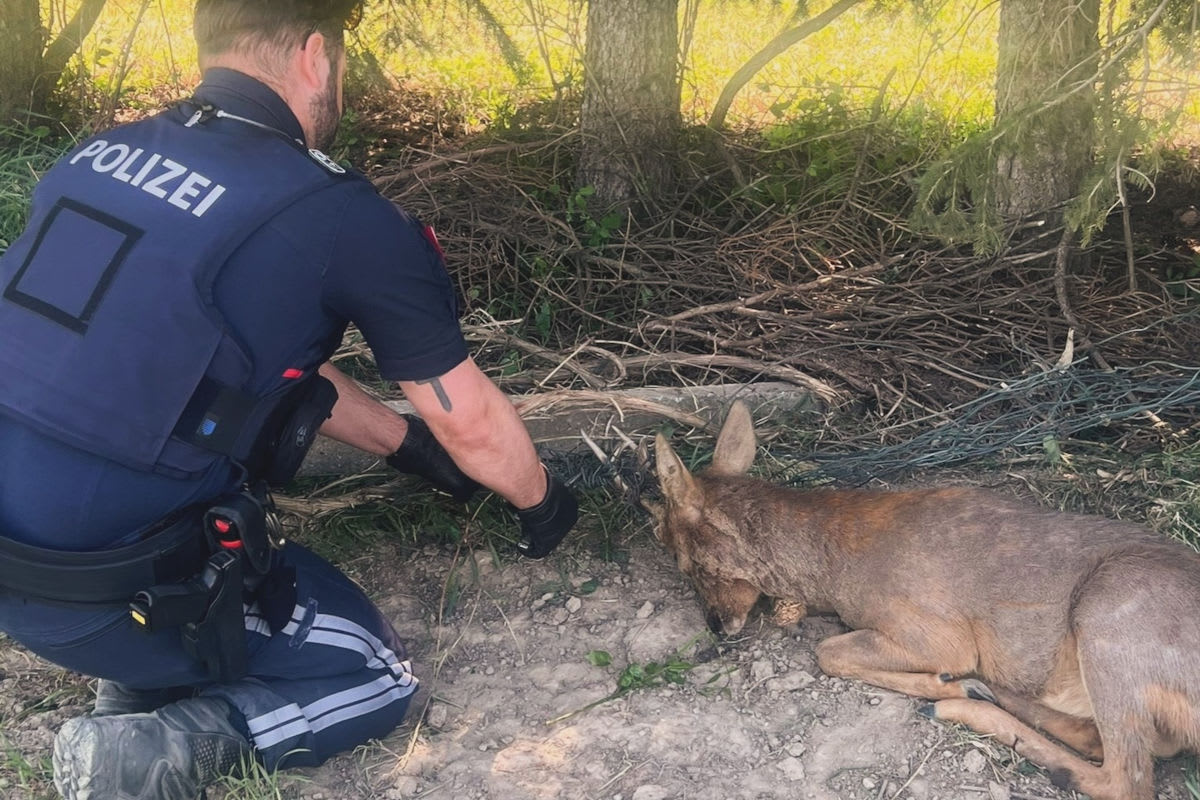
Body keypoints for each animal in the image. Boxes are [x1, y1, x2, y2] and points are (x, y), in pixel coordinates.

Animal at [648, 400, 1200, 800]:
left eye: (683, 561)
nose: (716, 625)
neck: (837, 569)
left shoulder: (935, 632)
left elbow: (828, 653)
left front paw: (945, 683)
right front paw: (960, 685)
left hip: (1112, 615)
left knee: (1126, 778)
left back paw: (959, 704)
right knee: (1116, 741)